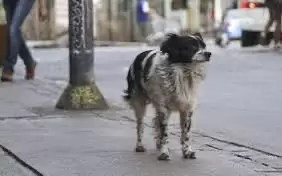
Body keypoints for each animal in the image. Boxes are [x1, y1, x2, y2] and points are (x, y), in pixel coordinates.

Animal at [123, 32, 212, 160]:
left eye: (204, 46)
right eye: (192, 47)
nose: (209, 53)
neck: (183, 72)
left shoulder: (187, 108)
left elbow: (186, 133)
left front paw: (187, 151)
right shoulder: (163, 107)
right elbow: (164, 132)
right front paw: (164, 152)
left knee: (155, 122)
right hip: (139, 102)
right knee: (140, 125)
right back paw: (139, 145)